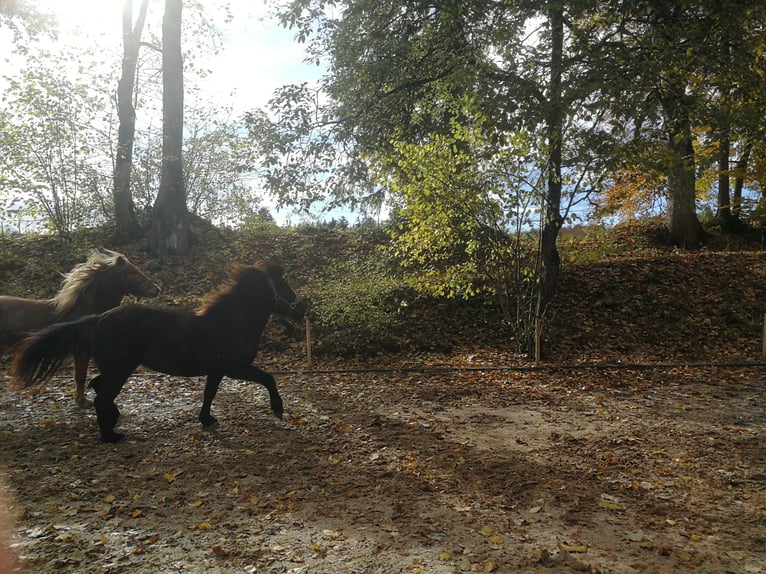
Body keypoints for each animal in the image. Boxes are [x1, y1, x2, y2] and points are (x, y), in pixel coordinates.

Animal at [11, 261, 307, 443]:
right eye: (284, 287)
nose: (303, 309)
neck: (231, 322)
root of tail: (98, 318)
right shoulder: (235, 368)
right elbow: (269, 378)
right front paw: (278, 409)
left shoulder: (217, 370)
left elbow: (209, 394)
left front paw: (207, 419)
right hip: (120, 369)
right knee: (102, 396)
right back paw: (110, 437)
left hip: (115, 367)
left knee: (98, 388)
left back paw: (114, 419)